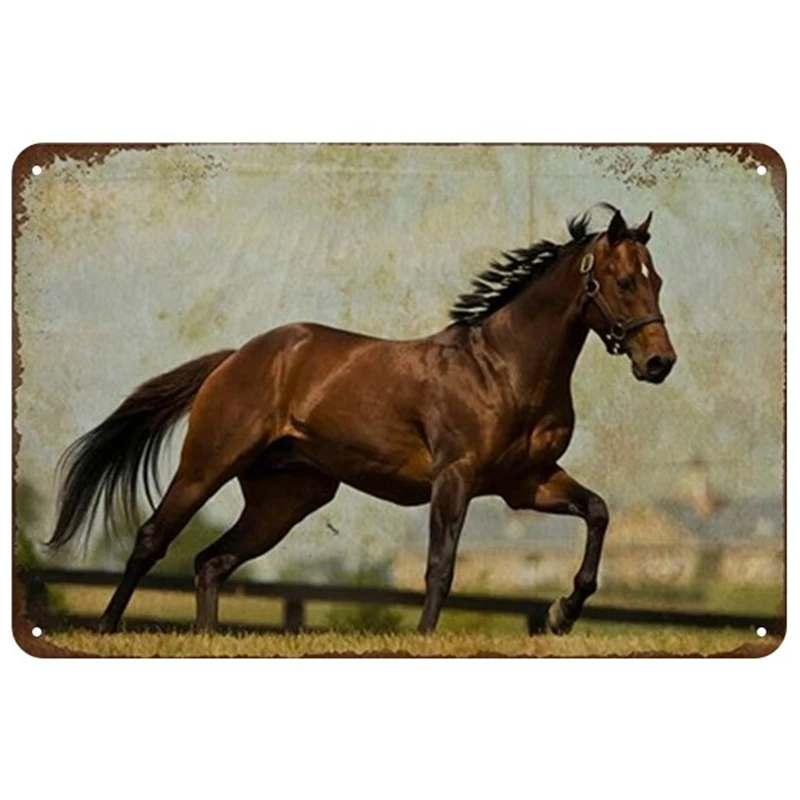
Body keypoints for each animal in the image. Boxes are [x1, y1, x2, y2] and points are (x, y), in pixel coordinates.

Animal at [48, 204, 676, 635]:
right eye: (625, 281)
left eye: (658, 280)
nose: (659, 362)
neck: (503, 369)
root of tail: (235, 358)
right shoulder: (456, 477)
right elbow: (440, 565)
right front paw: (426, 638)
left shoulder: (526, 483)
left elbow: (598, 511)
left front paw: (561, 613)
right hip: (208, 464)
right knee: (153, 539)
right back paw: (105, 629)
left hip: (287, 498)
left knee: (211, 561)